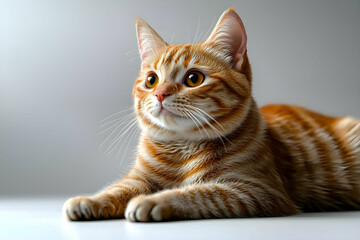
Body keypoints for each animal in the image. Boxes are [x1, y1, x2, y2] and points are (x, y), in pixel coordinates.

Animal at [64, 8, 360, 222]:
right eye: (151, 80)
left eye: (193, 78)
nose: (159, 93)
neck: (181, 149)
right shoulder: (138, 178)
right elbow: (116, 189)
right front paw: (90, 200)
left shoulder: (257, 190)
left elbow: (199, 193)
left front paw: (154, 200)